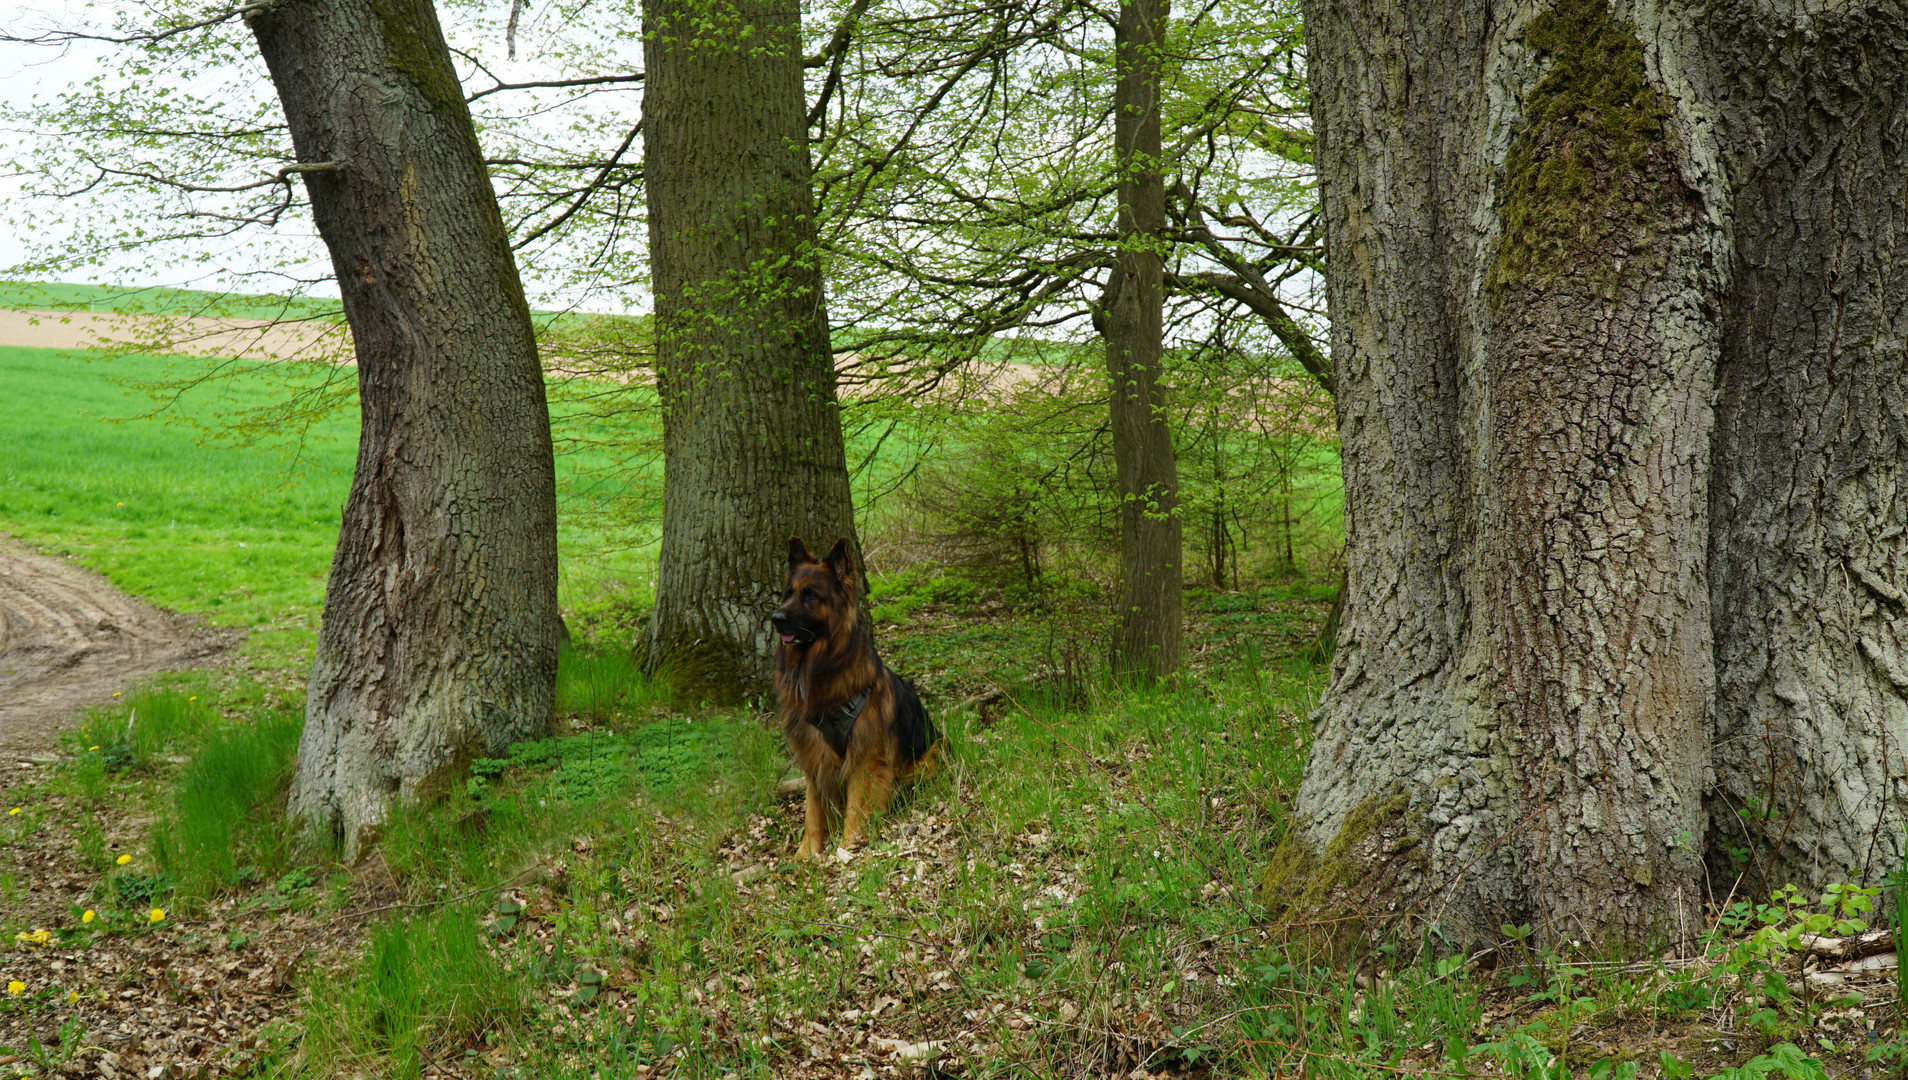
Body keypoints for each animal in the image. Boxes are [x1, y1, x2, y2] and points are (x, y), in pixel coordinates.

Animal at [774, 538, 938, 858]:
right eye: (789, 593)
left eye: (811, 594)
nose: (776, 618)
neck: (820, 669)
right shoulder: (814, 756)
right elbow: (813, 812)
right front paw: (805, 854)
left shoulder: (865, 756)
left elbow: (857, 806)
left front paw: (848, 847)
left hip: (930, 757)